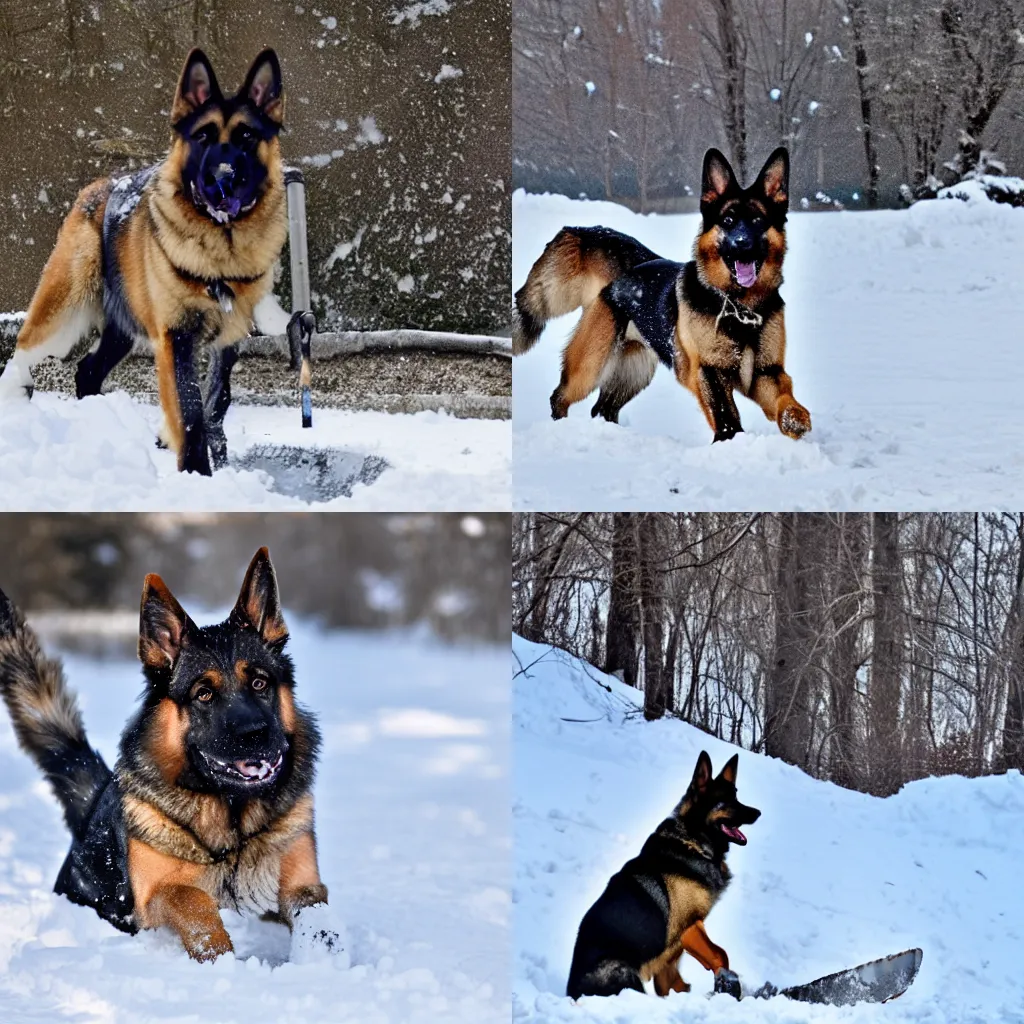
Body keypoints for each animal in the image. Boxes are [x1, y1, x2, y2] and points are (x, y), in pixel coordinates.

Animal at [0, 552, 327, 958]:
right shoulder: (155, 896)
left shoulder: (303, 884)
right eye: (204, 694)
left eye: (259, 682)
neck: (232, 822)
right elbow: (195, 902)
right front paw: (221, 958)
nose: (256, 735)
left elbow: (319, 921)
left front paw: (320, 962)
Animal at [1, 49, 288, 473]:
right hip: (65, 304)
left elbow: (215, 401)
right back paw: (16, 394)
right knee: (24, 348)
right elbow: (189, 412)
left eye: (247, 137)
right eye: (202, 136)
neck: (220, 250)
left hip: (122, 327)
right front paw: (196, 473)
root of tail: (96, 186)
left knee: (88, 371)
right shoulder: (176, 337)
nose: (222, 180)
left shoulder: (228, 337)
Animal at [516, 147, 811, 440]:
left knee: (603, 409)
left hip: (634, 371)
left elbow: (784, 398)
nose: (743, 245)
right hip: (590, 365)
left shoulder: (766, 373)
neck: (739, 306)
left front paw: (795, 419)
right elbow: (726, 416)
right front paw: (731, 442)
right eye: (727, 220)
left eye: (759, 221)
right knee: (560, 396)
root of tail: (629, 270)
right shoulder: (708, 371)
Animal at [569, 753, 761, 999]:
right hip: (620, 969)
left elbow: (670, 980)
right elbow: (720, 954)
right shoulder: (689, 925)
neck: (692, 841)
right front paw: (727, 984)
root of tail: (571, 991)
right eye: (726, 801)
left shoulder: (682, 940)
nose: (758, 813)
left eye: (736, 795)